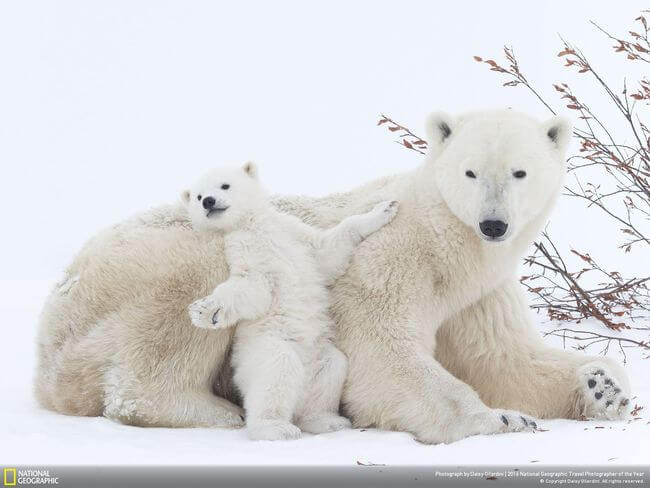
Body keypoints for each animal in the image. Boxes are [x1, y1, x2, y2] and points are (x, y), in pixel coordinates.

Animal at [34, 109, 628, 442]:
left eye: (520, 172)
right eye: (470, 172)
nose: (494, 223)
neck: (450, 246)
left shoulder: (477, 294)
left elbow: (502, 359)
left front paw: (603, 386)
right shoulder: (394, 259)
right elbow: (380, 348)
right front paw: (497, 420)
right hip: (153, 267)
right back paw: (218, 409)